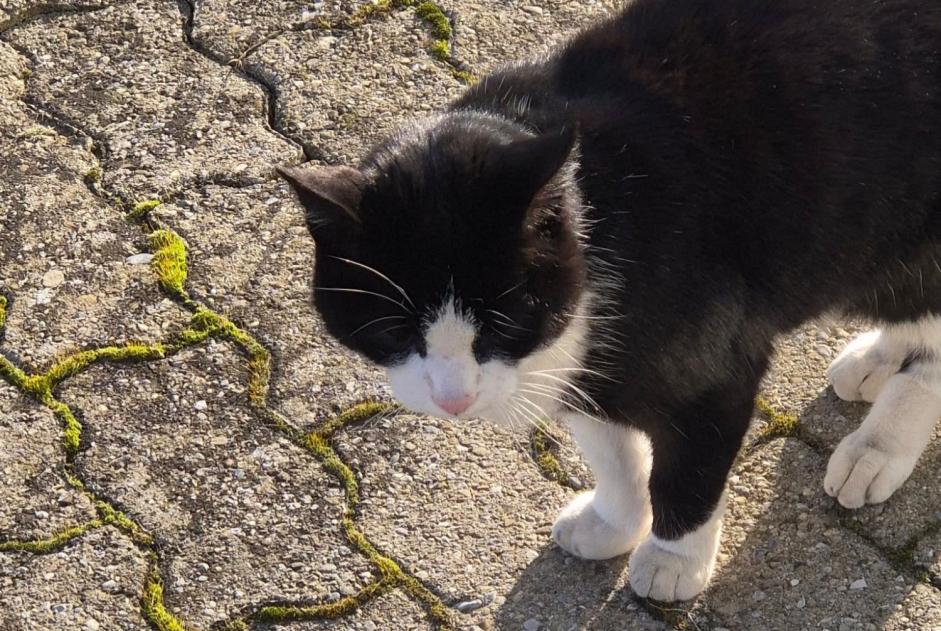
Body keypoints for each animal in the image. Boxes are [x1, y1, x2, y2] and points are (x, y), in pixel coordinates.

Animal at [280, 0, 940, 604]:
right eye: (393, 333)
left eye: (505, 322)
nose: (454, 400)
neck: (600, 207)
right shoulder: (578, 370)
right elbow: (613, 454)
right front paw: (616, 522)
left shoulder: (713, 371)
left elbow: (687, 471)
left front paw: (674, 558)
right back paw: (878, 360)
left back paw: (878, 446)